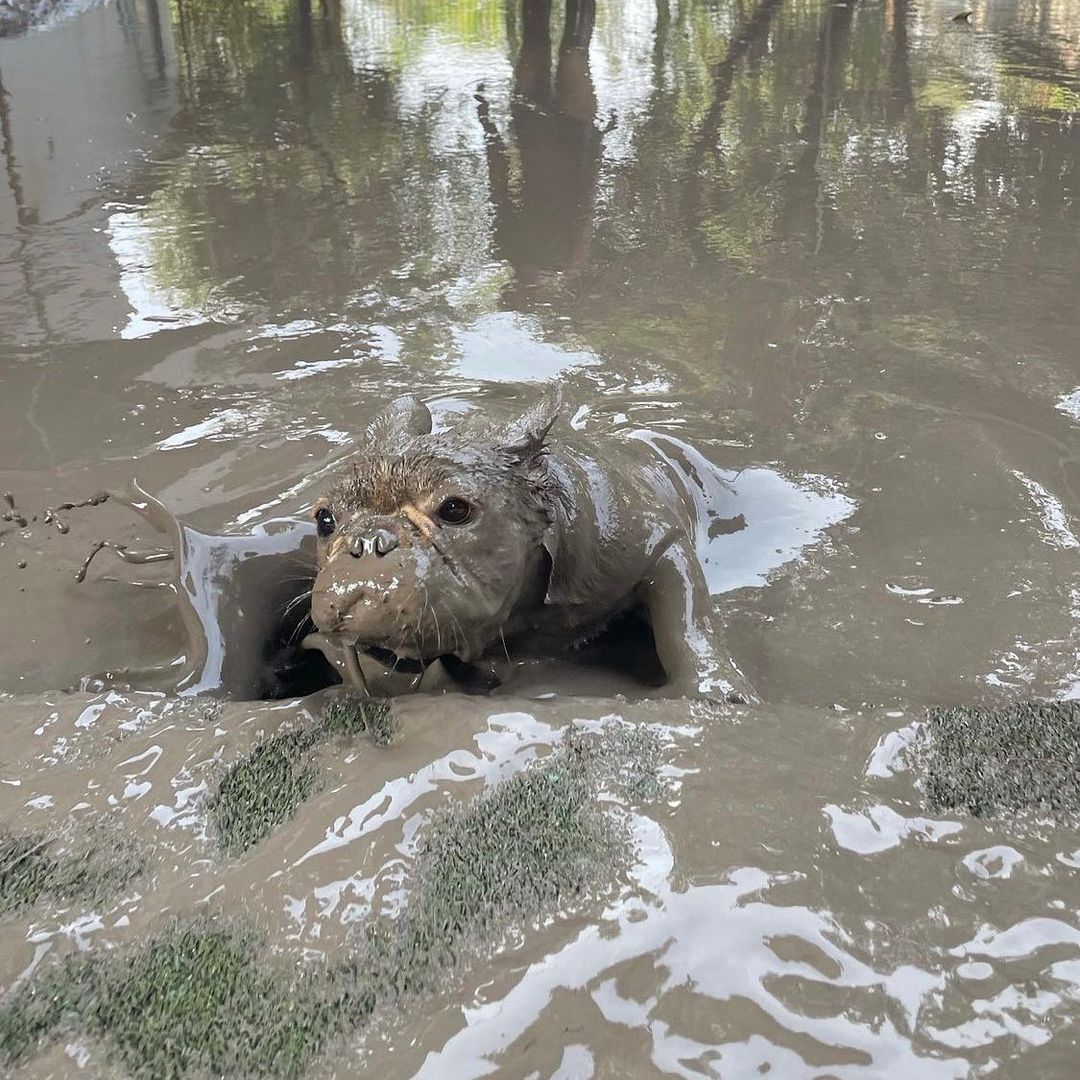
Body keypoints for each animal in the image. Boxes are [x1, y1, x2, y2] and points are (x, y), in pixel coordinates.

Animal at [302, 392, 750, 700]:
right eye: (325, 519)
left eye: (455, 509)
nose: (369, 542)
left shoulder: (653, 540)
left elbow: (685, 613)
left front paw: (715, 691)